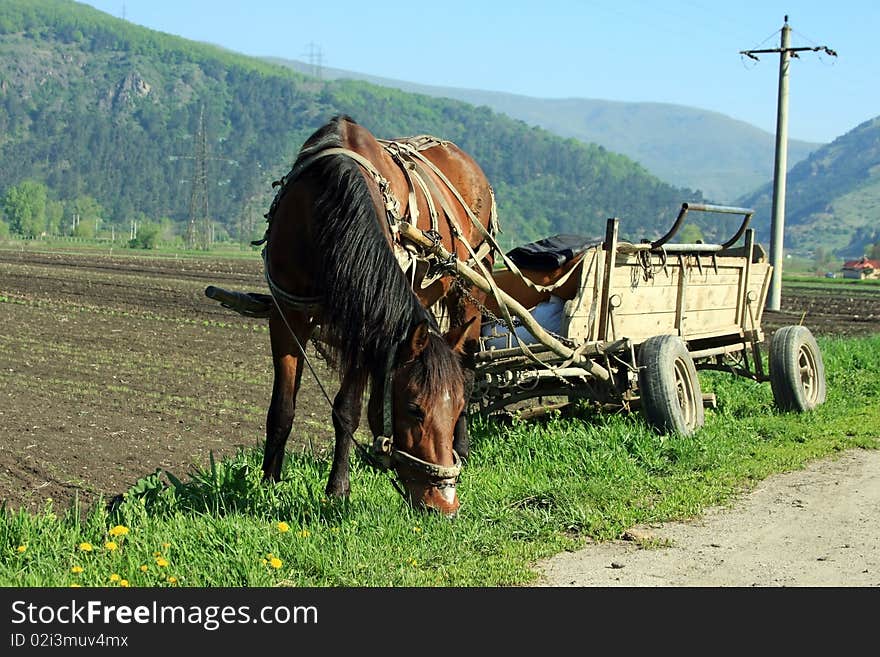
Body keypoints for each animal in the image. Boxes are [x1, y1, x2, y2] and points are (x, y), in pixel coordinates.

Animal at [258, 113, 498, 516]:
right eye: (414, 409)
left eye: (456, 407)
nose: (444, 503)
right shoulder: (286, 313)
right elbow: (282, 408)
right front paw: (269, 482)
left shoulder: (364, 322)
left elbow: (347, 409)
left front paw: (337, 488)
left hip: (470, 289)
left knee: (466, 362)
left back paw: (462, 448)